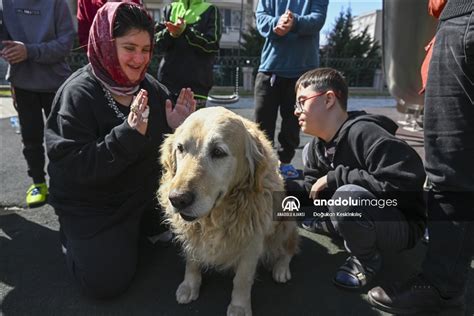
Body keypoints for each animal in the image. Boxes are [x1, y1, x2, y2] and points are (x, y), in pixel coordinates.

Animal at [159, 107, 300, 314]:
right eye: (181, 148)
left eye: (218, 152)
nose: (177, 199)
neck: (215, 217)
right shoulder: (192, 233)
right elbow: (192, 260)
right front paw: (189, 285)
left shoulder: (253, 241)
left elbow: (242, 279)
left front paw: (239, 306)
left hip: (285, 222)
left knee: (289, 248)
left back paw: (281, 268)